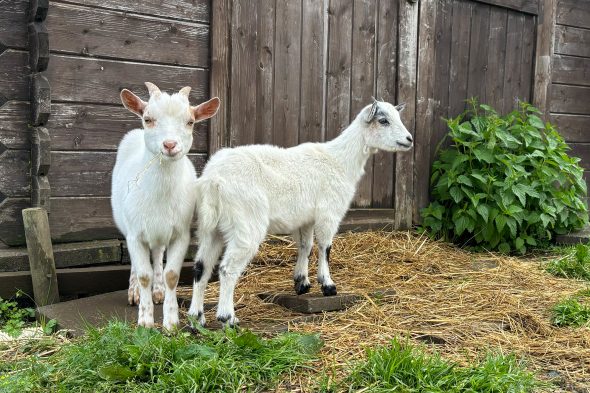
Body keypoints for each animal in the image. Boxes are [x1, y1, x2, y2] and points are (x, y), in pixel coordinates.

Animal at [111, 82, 220, 328]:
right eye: (148, 118)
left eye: (190, 121)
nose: (170, 145)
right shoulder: (135, 233)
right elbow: (144, 275)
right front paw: (145, 320)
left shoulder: (180, 233)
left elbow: (171, 274)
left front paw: (170, 321)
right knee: (137, 264)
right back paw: (134, 292)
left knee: (158, 254)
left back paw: (158, 291)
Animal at [188, 99, 412, 324]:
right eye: (383, 121)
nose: (409, 139)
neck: (340, 160)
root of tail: (213, 180)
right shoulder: (329, 212)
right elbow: (325, 247)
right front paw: (328, 285)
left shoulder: (306, 218)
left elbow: (306, 246)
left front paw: (301, 283)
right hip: (246, 222)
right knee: (227, 269)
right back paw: (227, 318)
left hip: (210, 226)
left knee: (201, 267)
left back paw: (196, 318)